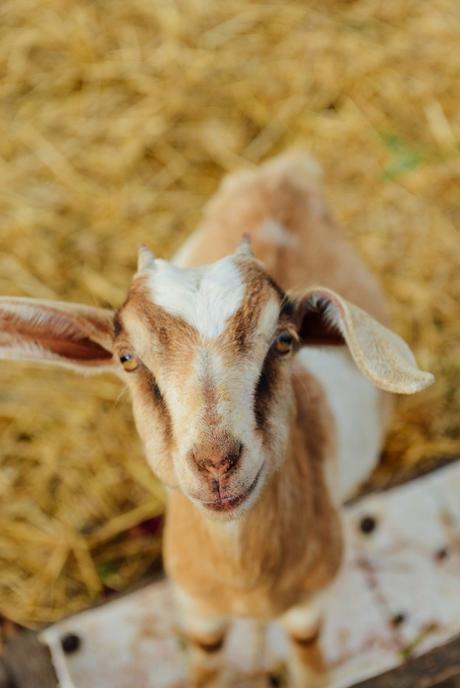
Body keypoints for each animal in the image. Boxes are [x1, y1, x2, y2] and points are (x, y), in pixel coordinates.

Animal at [0, 153, 434, 684]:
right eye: (127, 359)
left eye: (285, 341)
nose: (216, 464)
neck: (241, 577)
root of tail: (281, 173)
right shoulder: (196, 605)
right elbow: (206, 658)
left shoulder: (311, 600)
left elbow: (307, 649)